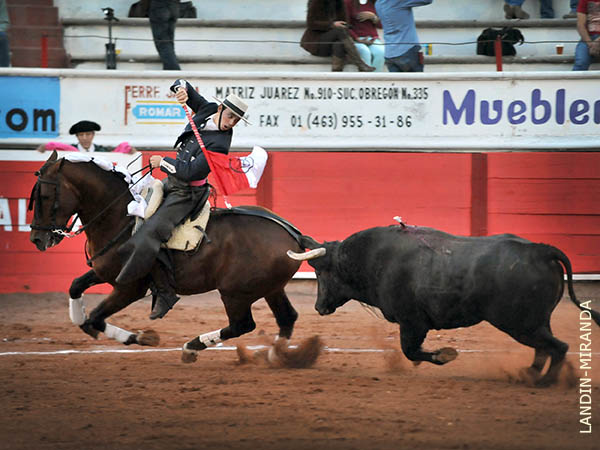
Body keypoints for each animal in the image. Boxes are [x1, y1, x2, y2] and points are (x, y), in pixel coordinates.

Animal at [27, 151, 302, 362]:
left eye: (45, 196)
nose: (37, 239)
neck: (121, 218)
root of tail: (293, 235)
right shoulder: (105, 272)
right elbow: (76, 289)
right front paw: (85, 320)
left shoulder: (129, 287)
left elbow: (95, 317)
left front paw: (142, 336)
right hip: (270, 289)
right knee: (286, 317)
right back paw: (277, 357)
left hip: (234, 293)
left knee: (243, 325)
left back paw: (191, 348)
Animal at [288, 223, 596, 384]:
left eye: (320, 272)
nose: (319, 307)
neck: (373, 257)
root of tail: (542, 250)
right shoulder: (413, 323)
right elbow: (411, 351)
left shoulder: (412, 322)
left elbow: (410, 351)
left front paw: (445, 355)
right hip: (534, 323)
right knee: (544, 348)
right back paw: (528, 374)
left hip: (521, 324)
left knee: (557, 347)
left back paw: (543, 382)